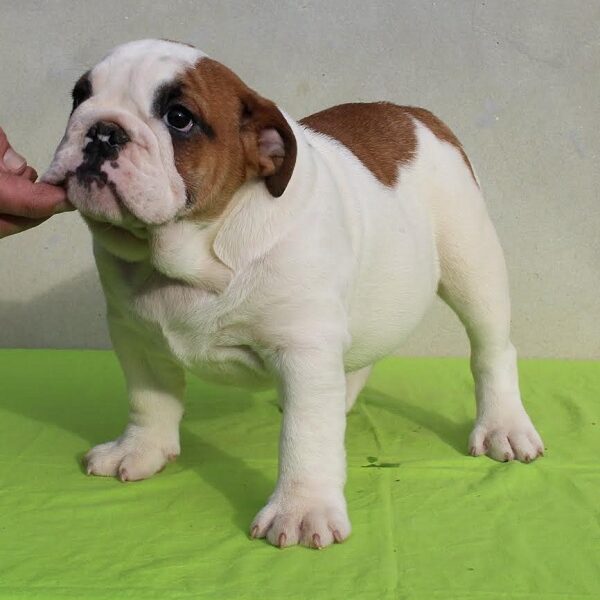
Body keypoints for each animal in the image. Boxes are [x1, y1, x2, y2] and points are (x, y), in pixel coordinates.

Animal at [42, 38, 544, 548]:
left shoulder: (303, 350)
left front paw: (302, 510)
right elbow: (149, 398)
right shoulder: (134, 337)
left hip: (472, 264)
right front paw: (140, 449)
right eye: (79, 97)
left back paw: (503, 426)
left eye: (179, 118)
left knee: (491, 350)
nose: (103, 129)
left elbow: (305, 435)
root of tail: (414, 114)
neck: (194, 251)